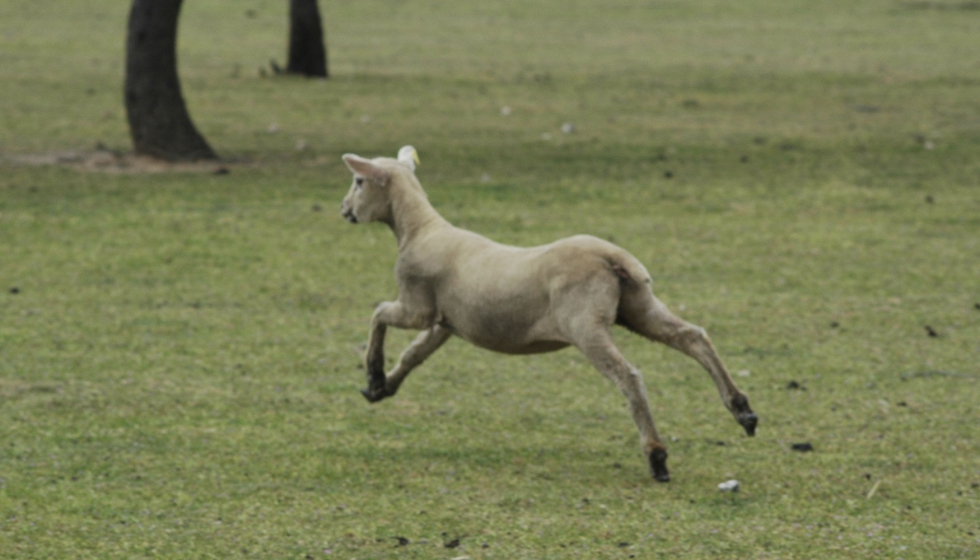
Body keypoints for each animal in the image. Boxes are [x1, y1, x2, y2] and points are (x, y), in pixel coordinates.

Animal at [340, 145, 760, 482]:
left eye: (359, 181)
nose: (344, 210)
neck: (420, 229)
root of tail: (613, 257)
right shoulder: (448, 322)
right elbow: (414, 354)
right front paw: (381, 388)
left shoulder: (418, 306)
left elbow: (379, 313)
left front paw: (374, 372)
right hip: (639, 306)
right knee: (693, 337)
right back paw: (742, 410)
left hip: (585, 324)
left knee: (629, 375)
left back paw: (657, 457)